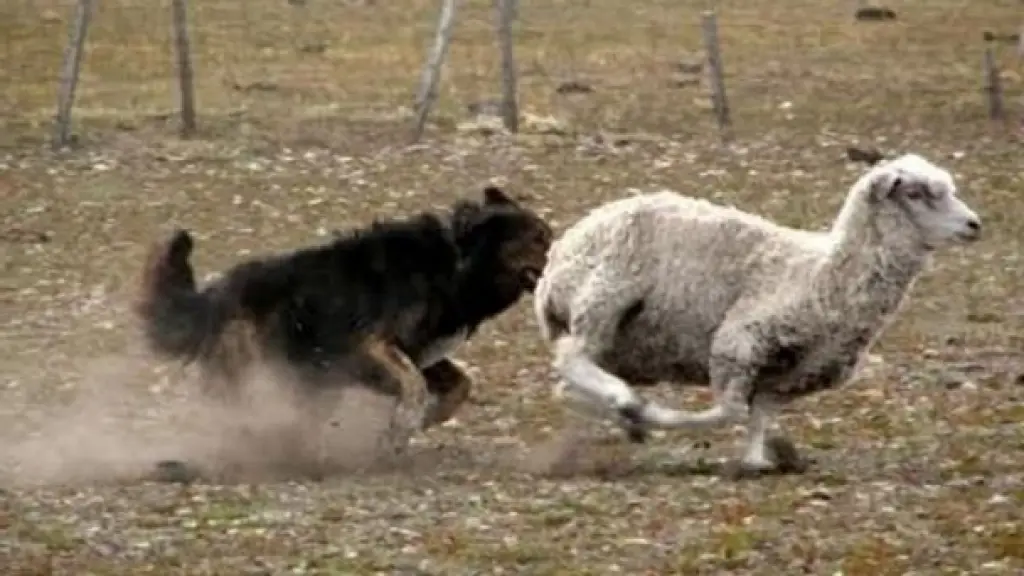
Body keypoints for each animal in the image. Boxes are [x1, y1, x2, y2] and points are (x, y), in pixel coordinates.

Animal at [532, 152, 978, 471]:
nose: (975, 224)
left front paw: (757, 460)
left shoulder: (788, 375)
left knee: (570, 380)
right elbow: (727, 412)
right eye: (916, 194)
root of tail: (561, 253)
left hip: (621, 343)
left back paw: (608, 414)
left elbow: (759, 415)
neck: (822, 274)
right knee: (572, 359)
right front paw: (651, 414)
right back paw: (624, 403)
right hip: (603, 301)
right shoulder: (738, 343)